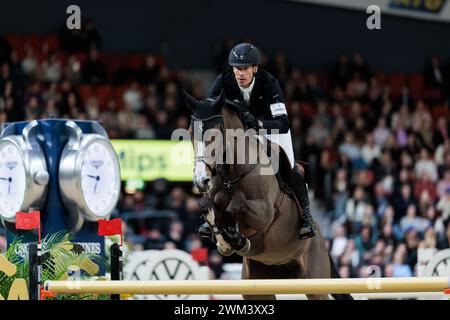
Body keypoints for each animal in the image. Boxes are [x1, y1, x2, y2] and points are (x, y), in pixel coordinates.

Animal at [183, 90, 352, 300]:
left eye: (215, 132)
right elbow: (206, 206)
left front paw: (235, 237)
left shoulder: (265, 214)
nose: (201, 180)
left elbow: (236, 205)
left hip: (316, 282)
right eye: (190, 132)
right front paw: (225, 240)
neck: (233, 174)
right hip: (258, 288)